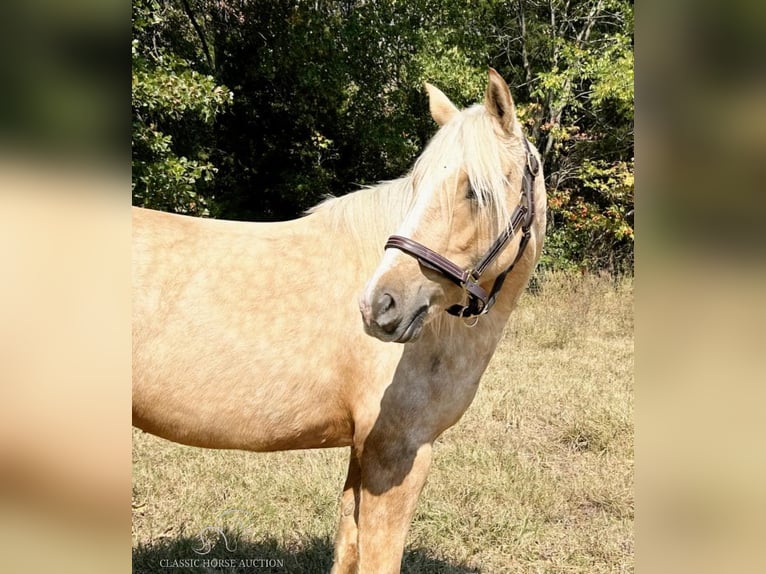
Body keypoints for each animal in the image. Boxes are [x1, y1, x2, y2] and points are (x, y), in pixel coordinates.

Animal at [135, 70, 548, 572]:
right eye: (417, 185)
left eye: (477, 191)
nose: (379, 305)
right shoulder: (396, 455)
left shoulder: (362, 451)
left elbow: (347, 550)